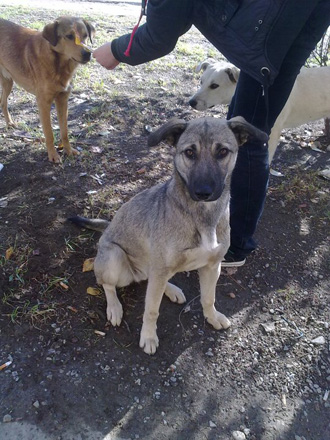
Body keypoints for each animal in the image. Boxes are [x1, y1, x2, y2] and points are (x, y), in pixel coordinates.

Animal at [0, 15, 95, 163]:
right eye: (69, 36)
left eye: (85, 35)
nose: (88, 54)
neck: (59, 64)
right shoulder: (43, 103)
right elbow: (49, 133)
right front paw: (53, 155)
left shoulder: (63, 100)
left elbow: (64, 131)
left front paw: (68, 150)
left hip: (8, 81)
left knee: (3, 102)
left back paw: (9, 123)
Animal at [68, 116, 266, 354]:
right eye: (189, 152)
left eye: (222, 151)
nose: (203, 192)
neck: (202, 215)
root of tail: (107, 229)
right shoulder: (161, 270)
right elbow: (151, 310)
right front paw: (148, 337)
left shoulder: (212, 266)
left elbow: (208, 298)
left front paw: (212, 317)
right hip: (115, 259)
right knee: (108, 284)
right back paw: (114, 307)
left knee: (150, 278)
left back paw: (170, 289)